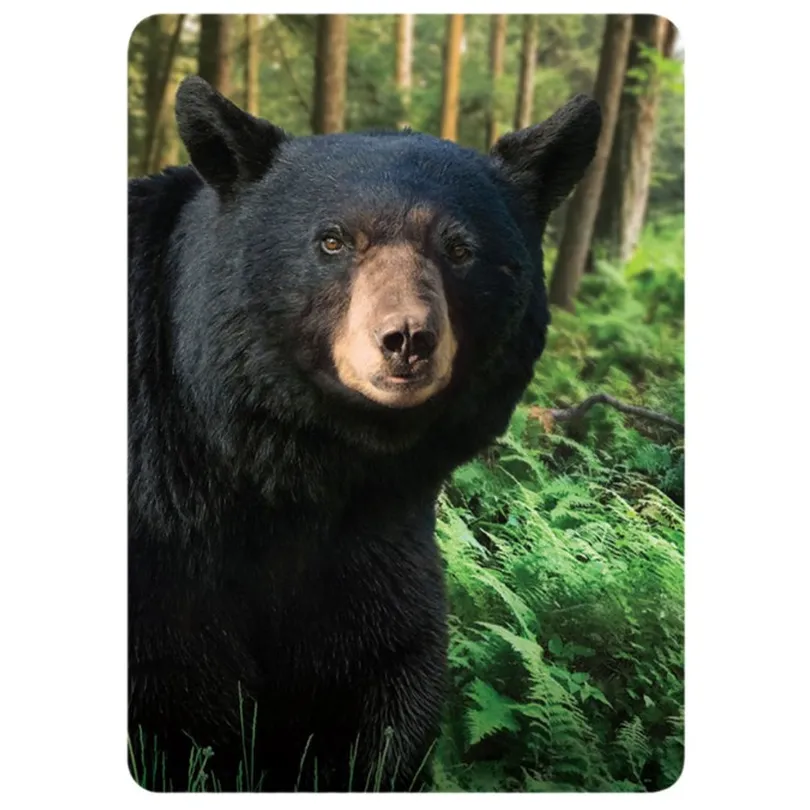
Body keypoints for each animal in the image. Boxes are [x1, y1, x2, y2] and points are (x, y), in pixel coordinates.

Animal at [128, 74, 601, 792]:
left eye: (460, 248)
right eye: (333, 241)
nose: (407, 339)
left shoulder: (374, 536)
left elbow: (385, 669)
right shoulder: (163, 539)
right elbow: (176, 699)